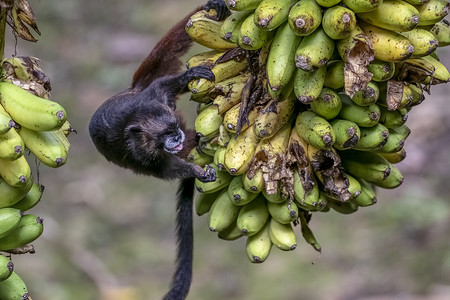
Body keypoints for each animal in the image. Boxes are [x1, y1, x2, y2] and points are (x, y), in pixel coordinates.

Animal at [87, 1, 230, 298]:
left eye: (172, 127)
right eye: (165, 134)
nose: (176, 136)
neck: (137, 118)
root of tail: (131, 90)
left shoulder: (155, 97)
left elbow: (168, 78)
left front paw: (190, 75)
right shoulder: (140, 153)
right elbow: (165, 168)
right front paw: (197, 172)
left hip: (142, 89)